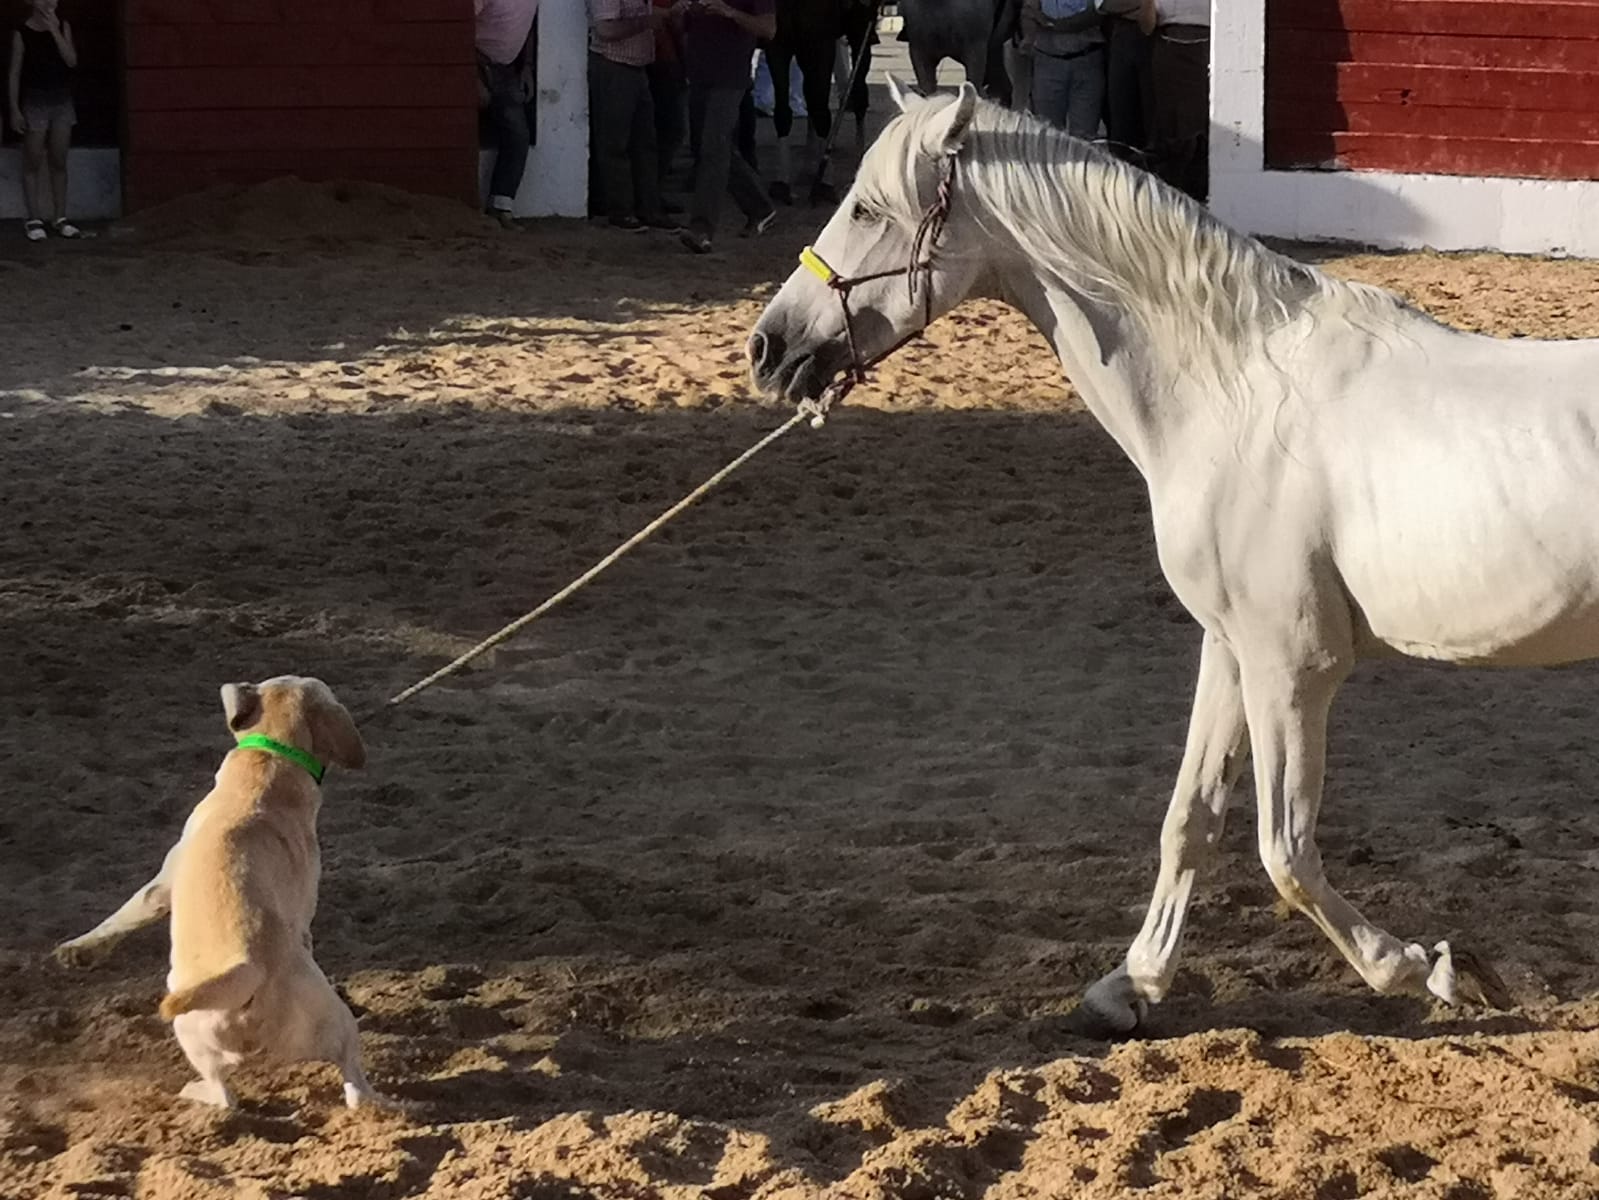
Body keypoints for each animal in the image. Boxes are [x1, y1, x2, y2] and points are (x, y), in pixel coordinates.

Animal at [54, 678, 378, 1107]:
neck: (268, 761)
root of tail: (251, 970)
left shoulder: (162, 885)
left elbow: (126, 913)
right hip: (289, 1025)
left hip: (211, 1024)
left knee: (235, 1094)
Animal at [748, 80, 1599, 1036]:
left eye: (864, 207)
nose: (768, 348)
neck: (1236, 392)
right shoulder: (1230, 650)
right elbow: (1190, 821)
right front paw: (1129, 987)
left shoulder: (1292, 668)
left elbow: (1284, 852)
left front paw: (1427, 969)